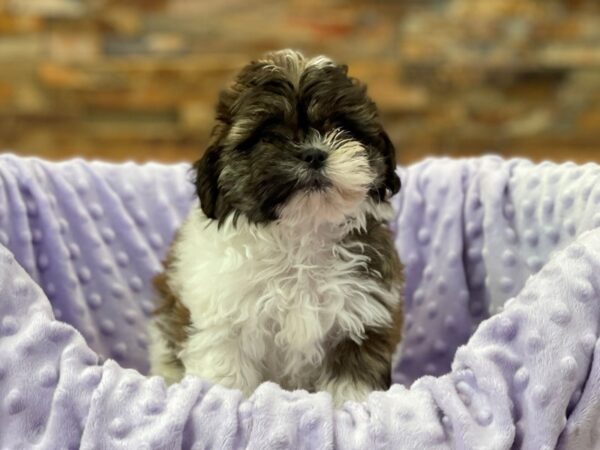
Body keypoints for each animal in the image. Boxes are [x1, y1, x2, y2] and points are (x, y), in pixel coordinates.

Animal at [148, 49, 406, 404]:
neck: (299, 236)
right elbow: (226, 376)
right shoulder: (224, 326)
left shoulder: (363, 320)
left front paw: (349, 407)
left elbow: (351, 384)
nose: (313, 154)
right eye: (268, 135)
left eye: (341, 127)